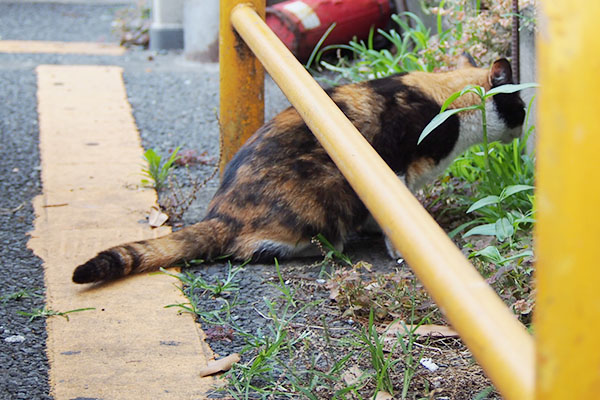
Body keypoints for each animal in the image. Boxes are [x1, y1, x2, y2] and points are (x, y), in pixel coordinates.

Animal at [72, 57, 524, 284]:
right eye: (519, 102)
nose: (526, 122)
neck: (447, 98)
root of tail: (221, 214)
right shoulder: (390, 163)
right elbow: (396, 211)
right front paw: (400, 248)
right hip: (329, 189)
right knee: (255, 247)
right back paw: (323, 246)